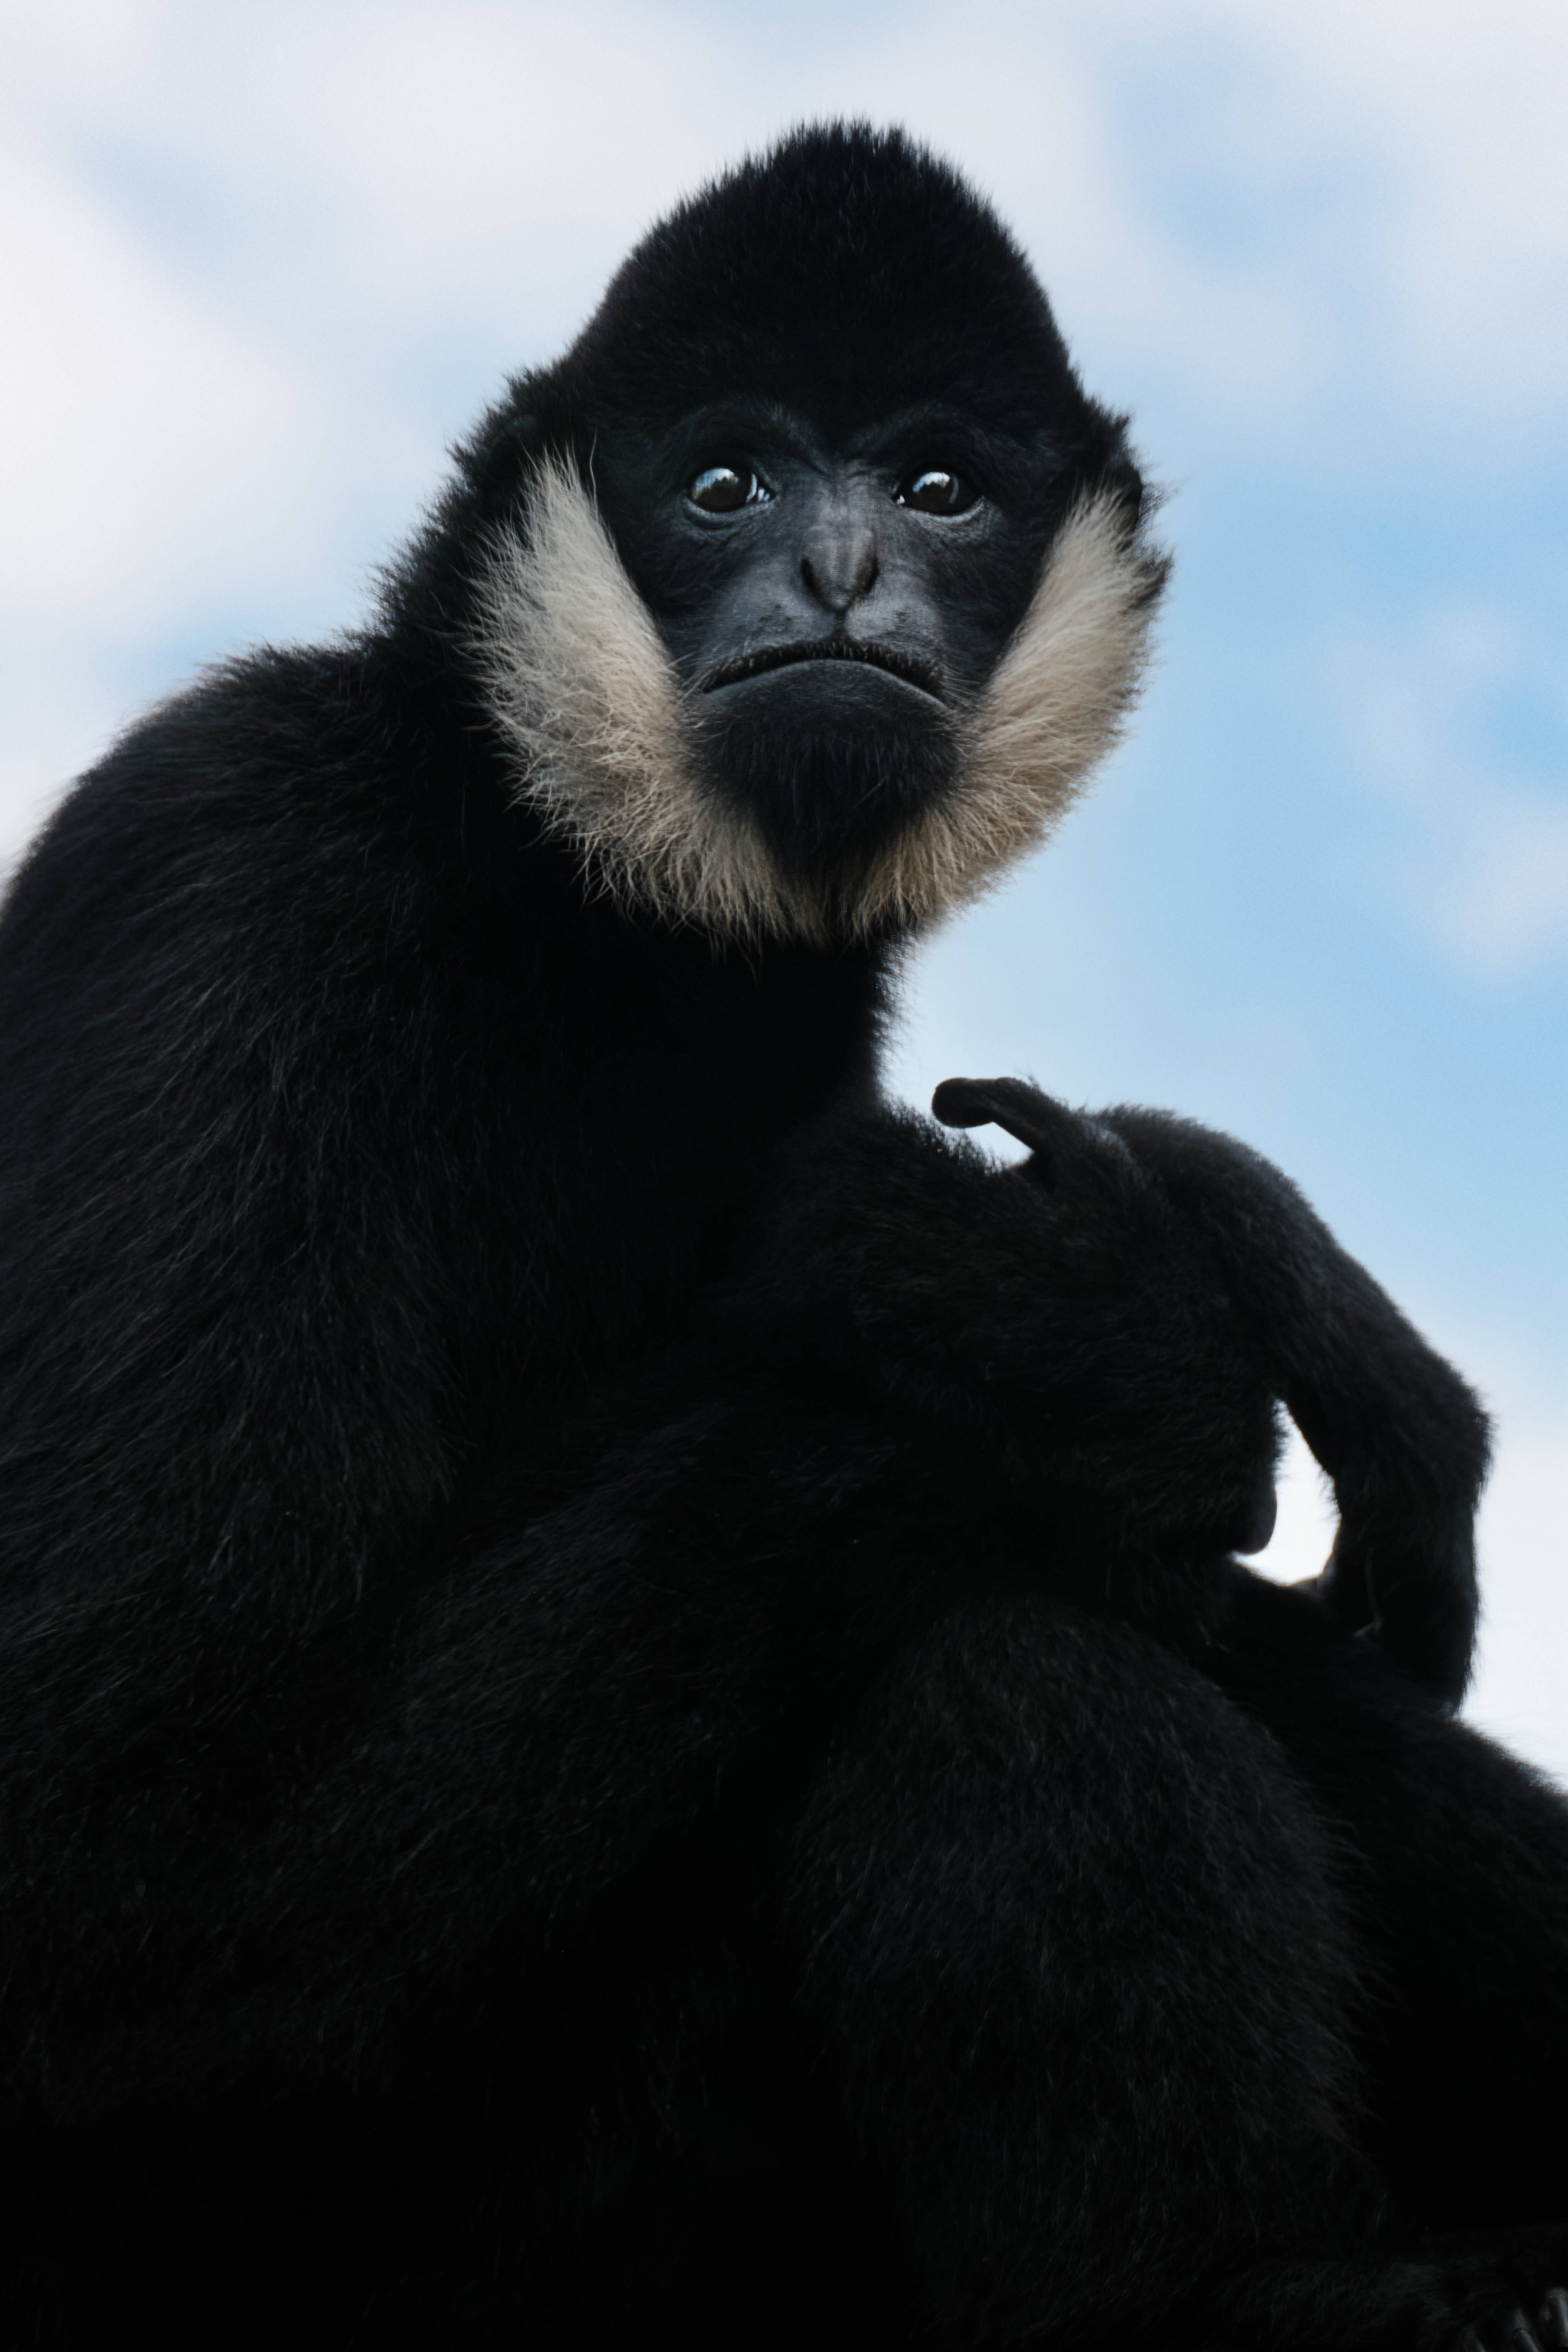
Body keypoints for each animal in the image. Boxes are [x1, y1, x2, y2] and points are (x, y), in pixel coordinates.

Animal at [0, 119, 1565, 2349]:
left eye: (938, 491)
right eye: (725, 483)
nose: (840, 575)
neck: (564, 889)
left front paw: (1219, 1224)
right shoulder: (230, 874)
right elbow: (105, 1882)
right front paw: (1042, 1318)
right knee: (994, 1620)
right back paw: (1247, 2287)